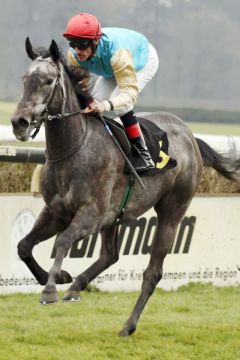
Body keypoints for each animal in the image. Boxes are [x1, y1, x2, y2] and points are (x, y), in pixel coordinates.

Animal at [10, 39, 240, 338]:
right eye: (25, 79)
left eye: (48, 81)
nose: (19, 123)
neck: (74, 148)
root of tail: (190, 136)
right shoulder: (55, 212)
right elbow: (24, 245)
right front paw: (57, 277)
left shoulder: (91, 215)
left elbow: (62, 241)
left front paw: (50, 288)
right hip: (114, 216)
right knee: (110, 254)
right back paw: (76, 286)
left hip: (172, 211)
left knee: (152, 272)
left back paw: (128, 325)